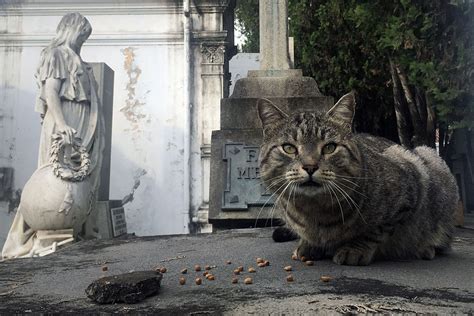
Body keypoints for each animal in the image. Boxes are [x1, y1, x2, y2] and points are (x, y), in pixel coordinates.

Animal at [260, 92, 460, 266]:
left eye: (329, 147)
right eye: (289, 148)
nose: (310, 166)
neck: (314, 212)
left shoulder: (410, 184)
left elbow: (375, 230)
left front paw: (354, 249)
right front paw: (308, 245)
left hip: (430, 160)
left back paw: (427, 248)